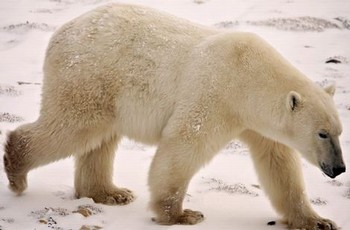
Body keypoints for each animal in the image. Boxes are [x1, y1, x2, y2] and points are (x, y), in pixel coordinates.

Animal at [4, 2, 346, 229]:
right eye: (322, 133)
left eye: (339, 131)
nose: (339, 168)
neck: (248, 74)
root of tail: (60, 32)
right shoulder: (215, 93)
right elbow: (183, 145)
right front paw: (181, 214)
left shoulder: (257, 122)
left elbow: (280, 166)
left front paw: (317, 221)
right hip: (89, 74)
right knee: (73, 126)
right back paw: (17, 171)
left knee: (99, 140)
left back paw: (110, 193)